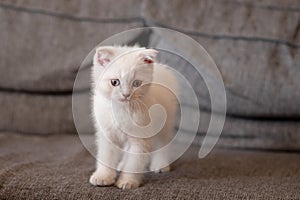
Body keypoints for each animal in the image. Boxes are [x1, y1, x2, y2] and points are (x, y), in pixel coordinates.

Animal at [89, 45, 178, 189]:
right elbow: (107, 155)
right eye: (114, 82)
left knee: (163, 142)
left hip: (165, 121)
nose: (126, 94)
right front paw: (103, 177)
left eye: (137, 83)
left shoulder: (140, 136)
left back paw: (161, 165)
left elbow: (134, 162)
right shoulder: (107, 133)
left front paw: (128, 181)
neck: (122, 109)